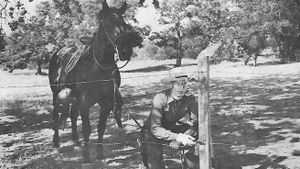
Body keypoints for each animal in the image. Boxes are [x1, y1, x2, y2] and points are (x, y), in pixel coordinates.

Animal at [48, 0, 143, 162]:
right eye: (107, 23)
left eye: (123, 22)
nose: (125, 50)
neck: (96, 67)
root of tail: (58, 54)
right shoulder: (84, 102)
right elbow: (87, 128)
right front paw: (87, 157)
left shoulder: (106, 103)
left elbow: (101, 127)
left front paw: (99, 155)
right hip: (56, 95)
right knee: (56, 116)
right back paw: (56, 144)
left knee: (73, 116)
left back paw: (76, 142)